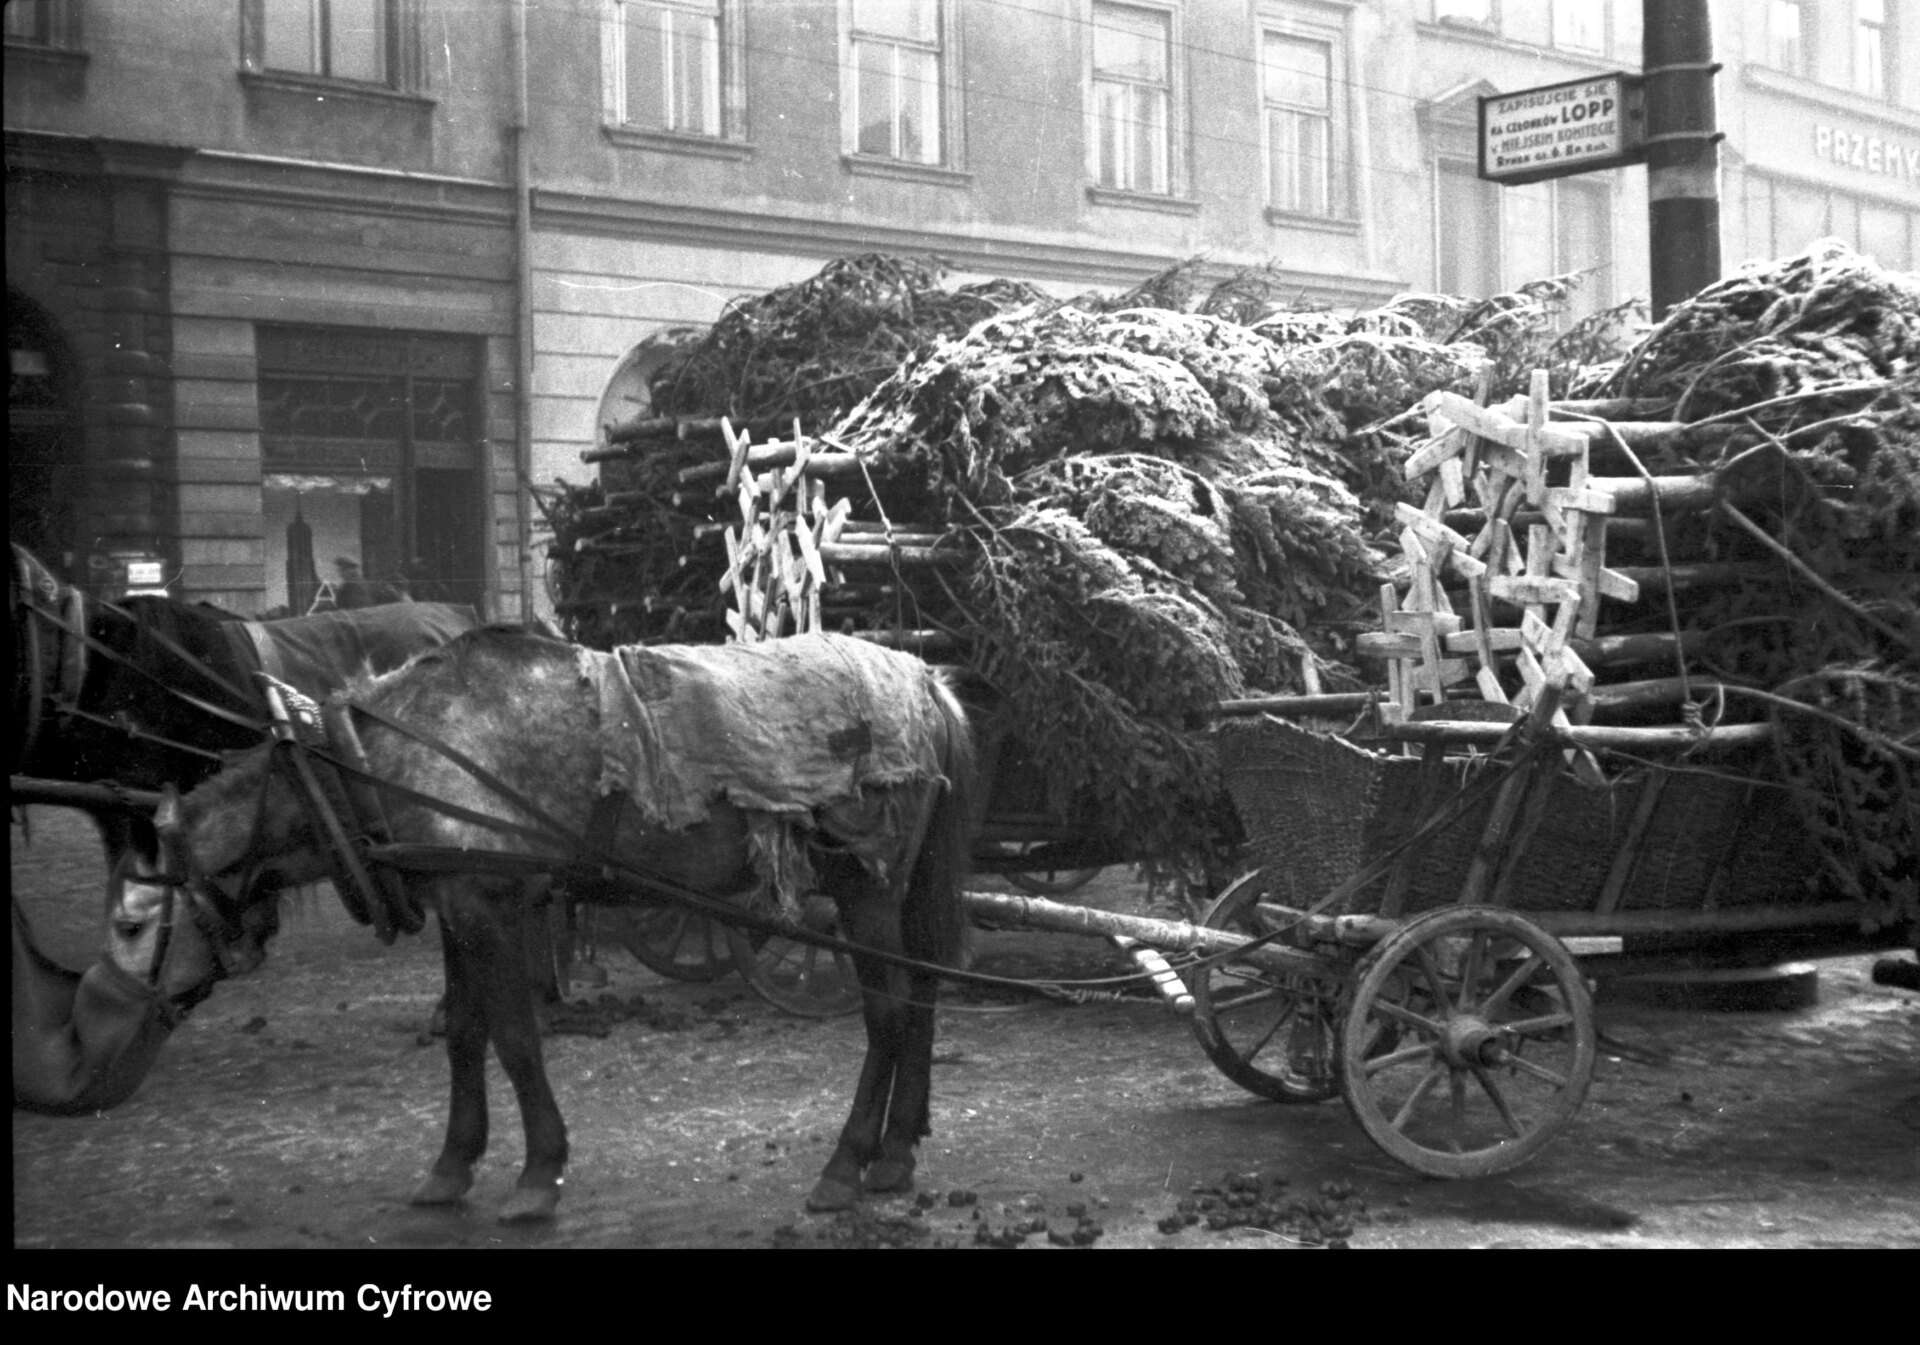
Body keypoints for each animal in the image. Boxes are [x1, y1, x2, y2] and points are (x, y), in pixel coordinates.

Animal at [101, 625, 975, 1220]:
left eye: (131, 925)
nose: (97, 1047)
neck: (365, 764)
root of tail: (925, 682)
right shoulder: (461, 902)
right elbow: (464, 1032)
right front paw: (452, 1163)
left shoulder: (488, 904)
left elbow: (515, 1036)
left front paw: (536, 1172)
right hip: (898, 884)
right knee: (923, 998)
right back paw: (897, 1152)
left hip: (860, 881)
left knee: (889, 1010)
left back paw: (847, 1162)